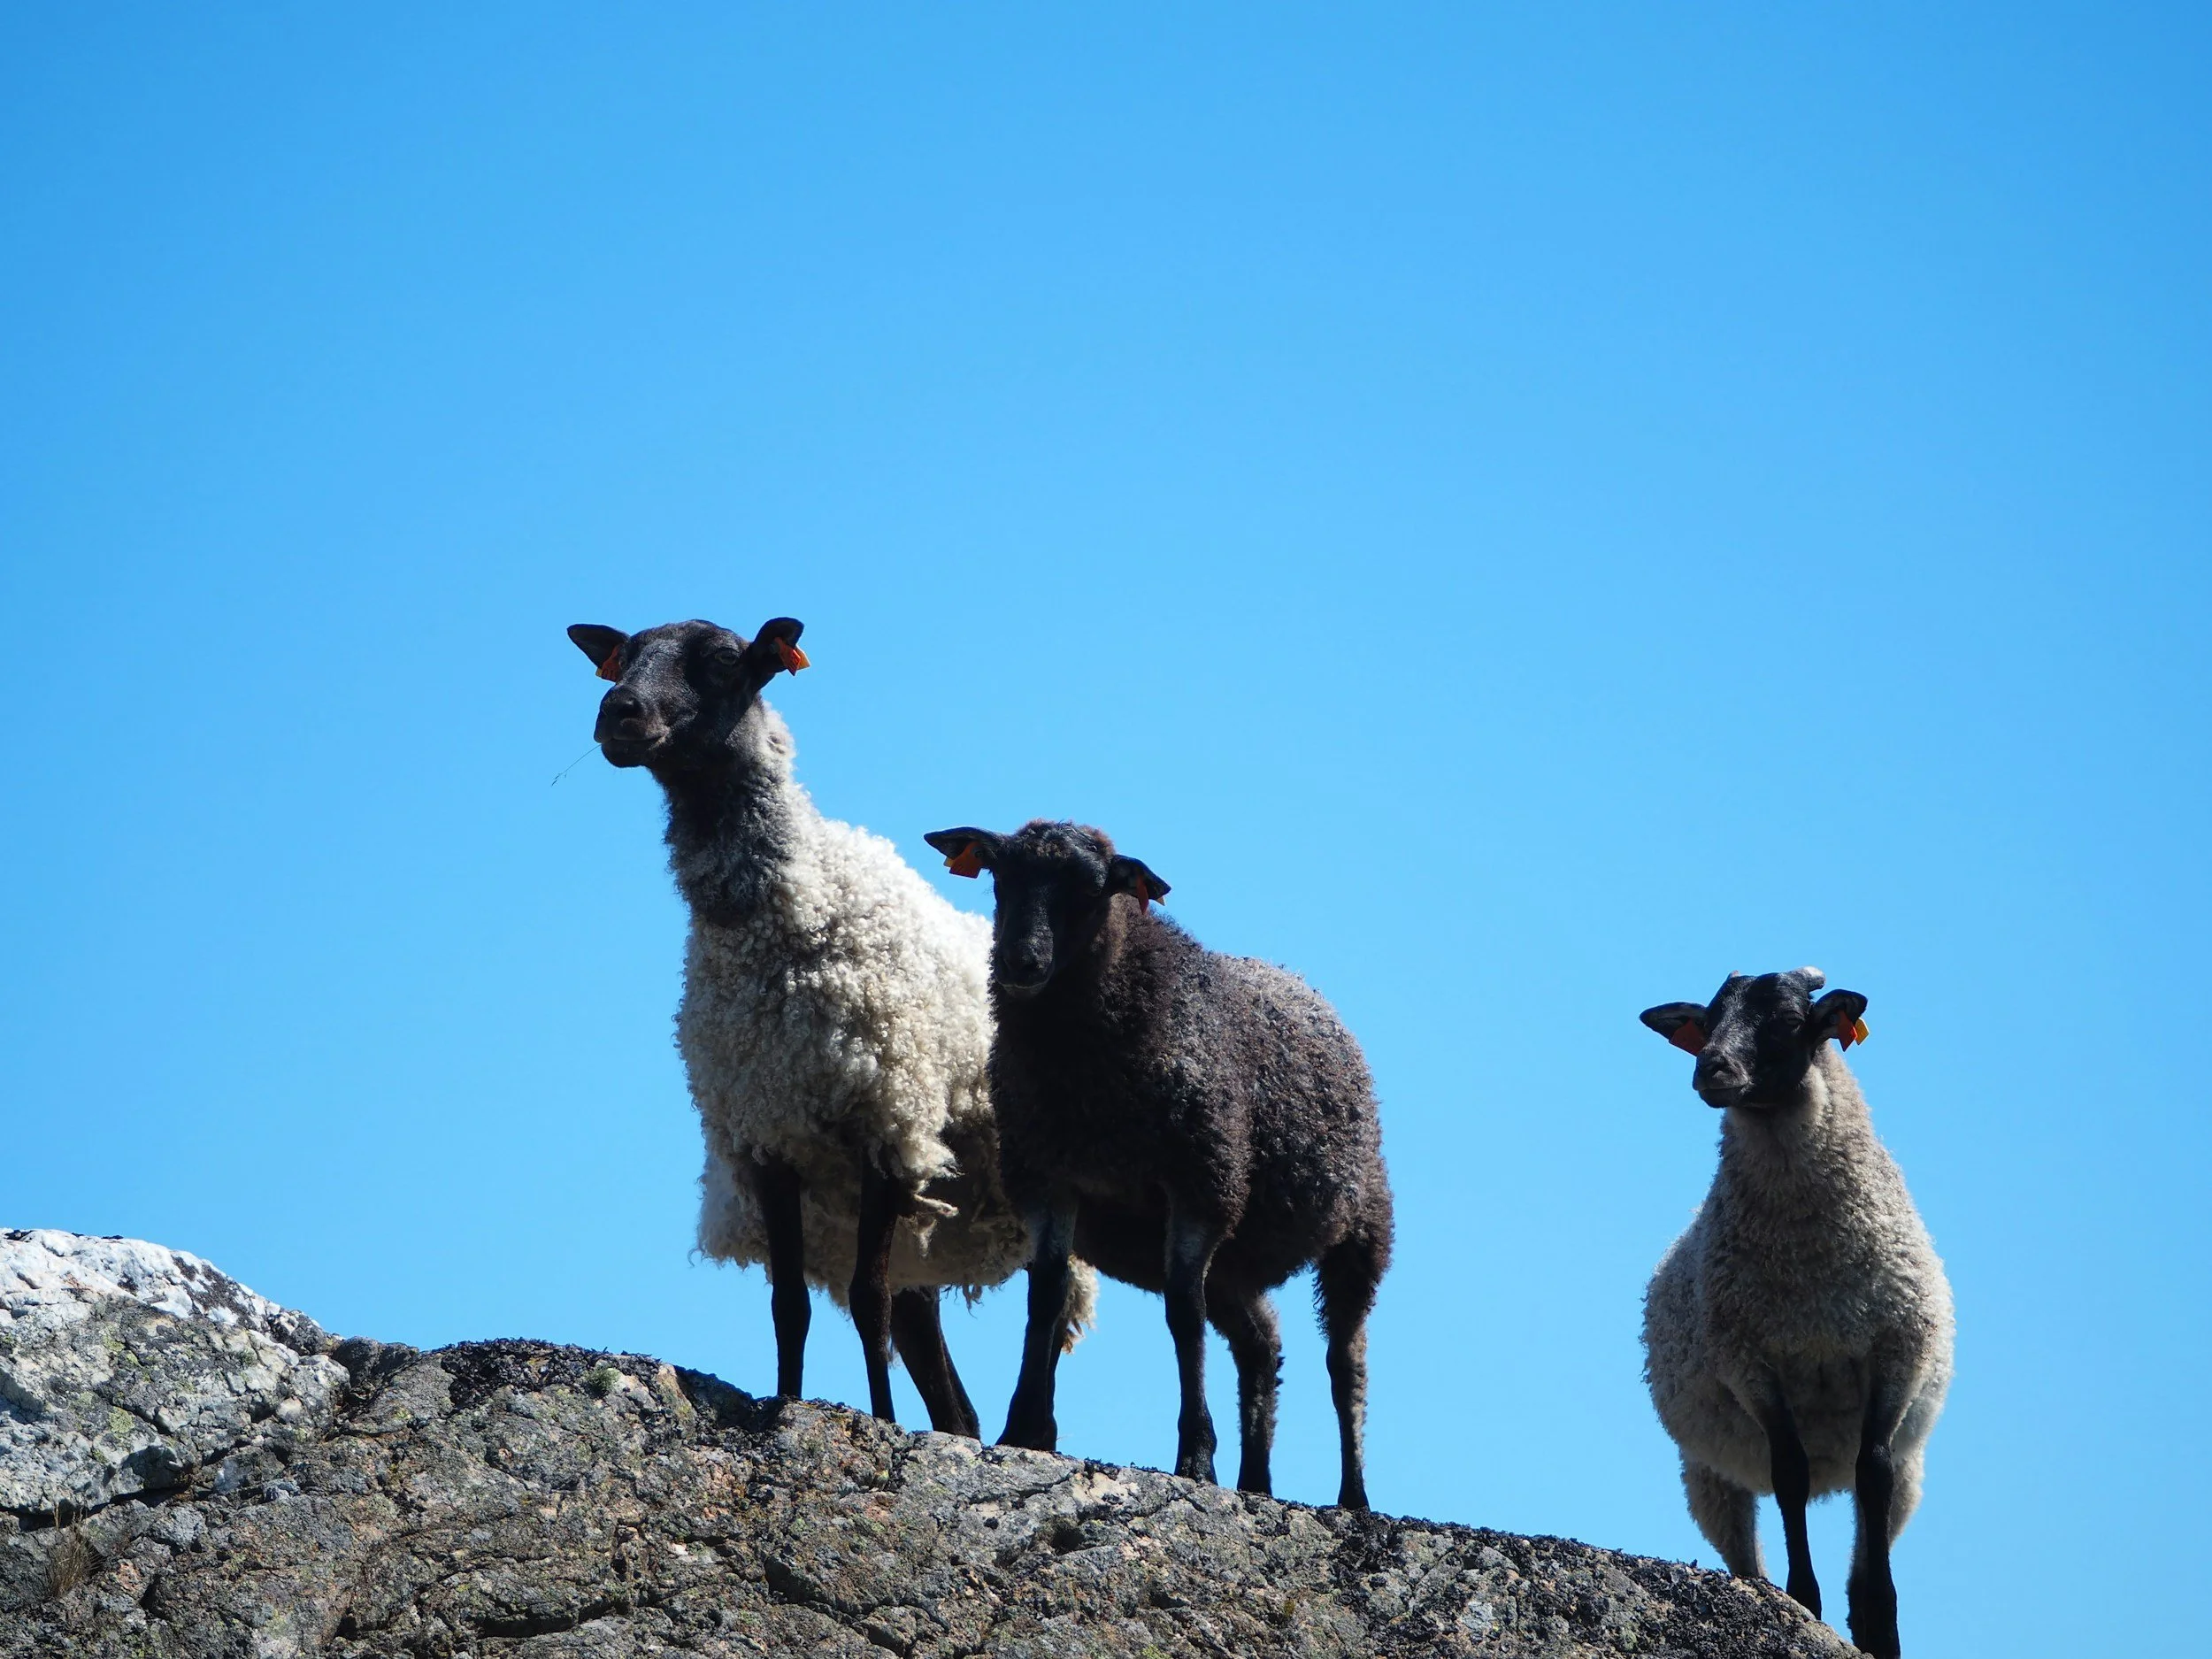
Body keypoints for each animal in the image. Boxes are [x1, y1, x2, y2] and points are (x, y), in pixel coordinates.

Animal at [567, 616, 1091, 1435]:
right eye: (622, 657)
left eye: (724, 661)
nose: (618, 713)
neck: (784, 914)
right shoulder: (768, 1136)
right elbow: (791, 1307)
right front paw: (787, 1405)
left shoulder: (886, 1124)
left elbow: (866, 1301)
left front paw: (878, 1423)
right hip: (917, 1236)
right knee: (947, 1383)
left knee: (1047, 1298)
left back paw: (1028, 1432)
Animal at [922, 819, 1394, 1509]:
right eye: (999, 876)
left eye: (1092, 888)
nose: (1020, 962)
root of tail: (1301, 982)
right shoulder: (1046, 1173)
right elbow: (1047, 1295)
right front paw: (1025, 1429)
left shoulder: (1200, 1177)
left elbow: (1181, 1310)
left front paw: (1195, 1456)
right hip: (1239, 1265)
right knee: (1261, 1346)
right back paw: (1256, 1482)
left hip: (1363, 1228)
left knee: (1346, 1361)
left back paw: (1353, 1495)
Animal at [1639, 968, 1953, 1659]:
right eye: (1709, 1020)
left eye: (1787, 1020)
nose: (1710, 1068)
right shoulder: (1752, 1363)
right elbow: (1789, 1476)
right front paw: (1803, 1601)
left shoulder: (1896, 1349)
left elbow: (1874, 1472)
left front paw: (1880, 1619)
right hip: (1709, 1475)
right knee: (1746, 1547)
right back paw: (1764, 1589)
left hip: (1911, 1473)